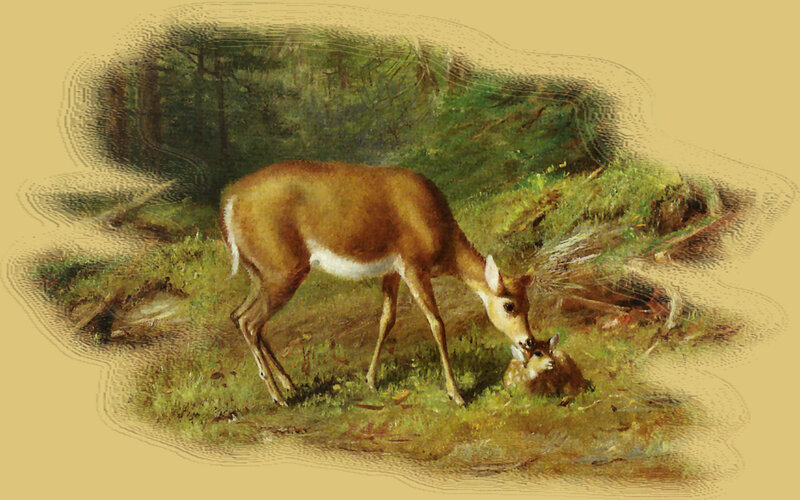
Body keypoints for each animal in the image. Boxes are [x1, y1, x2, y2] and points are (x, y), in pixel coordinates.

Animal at [220, 160, 538, 407]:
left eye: (529, 303)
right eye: (509, 306)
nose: (529, 342)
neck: (443, 236)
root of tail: (229, 206)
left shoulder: (392, 271)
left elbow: (387, 318)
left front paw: (371, 380)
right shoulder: (413, 265)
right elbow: (436, 323)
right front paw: (456, 394)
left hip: (260, 272)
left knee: (238, 316)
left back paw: (289, 384)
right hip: (282, 270)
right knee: (249, 321)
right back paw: (278, 397)